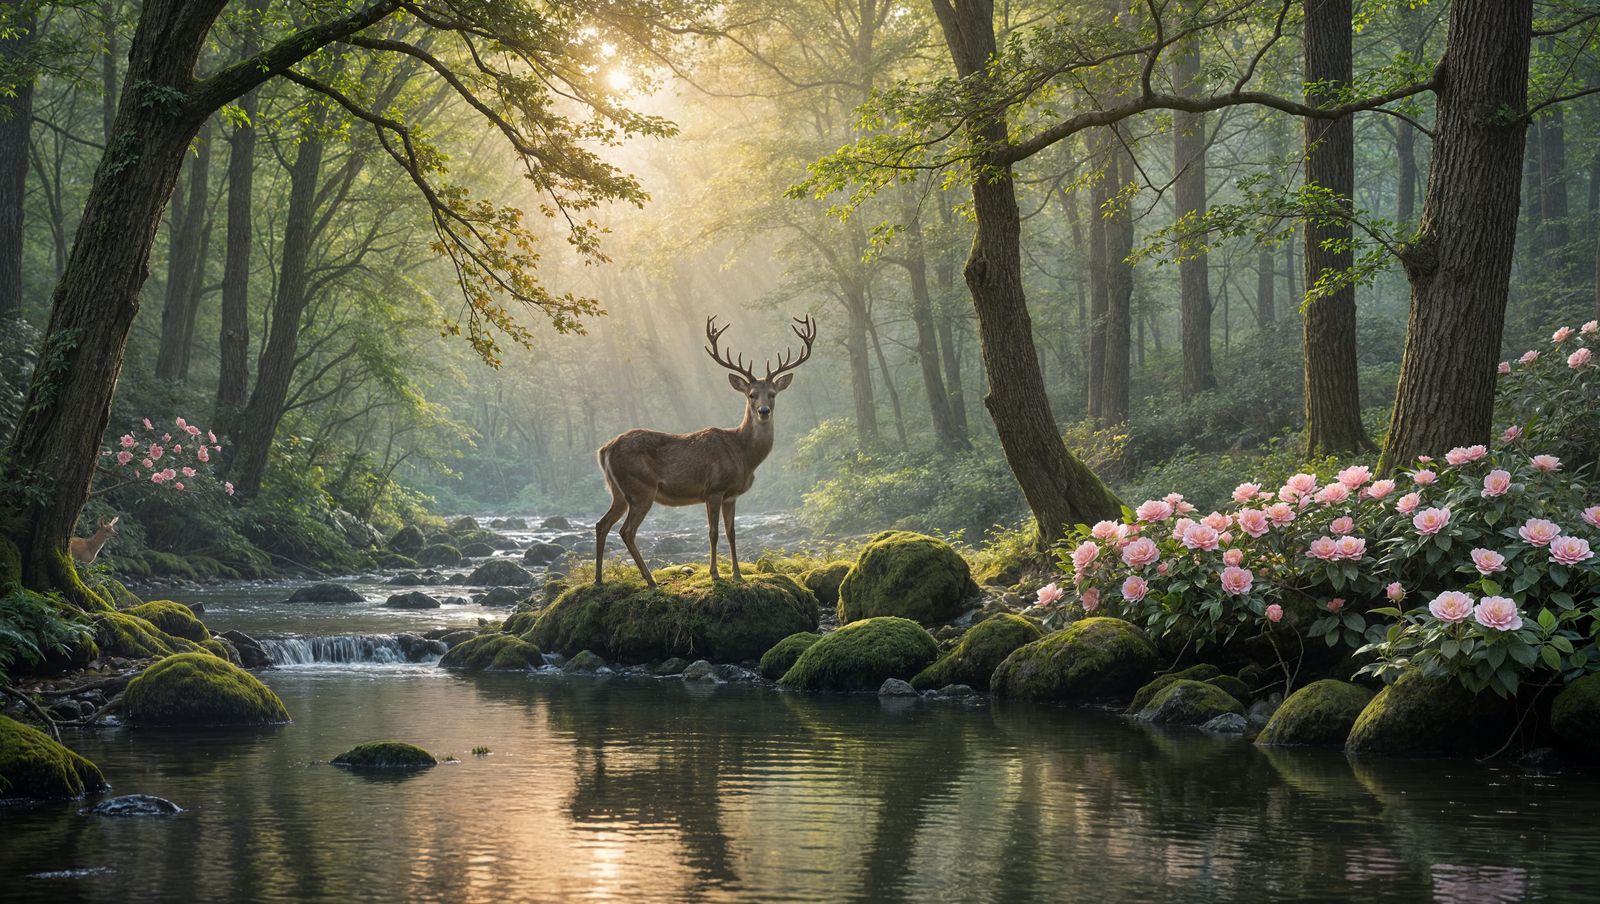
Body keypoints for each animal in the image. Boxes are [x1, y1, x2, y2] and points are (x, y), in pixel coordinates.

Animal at [595, 315, 816, 587]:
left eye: (773, 394)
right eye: (751, 395)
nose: (763, 411)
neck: (743, 455)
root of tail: (604, 449)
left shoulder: (731, 495)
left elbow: (732, 533)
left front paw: (738, 573)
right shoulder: (714, 488)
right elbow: (713, 533)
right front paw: (715, 573)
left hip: (618, 491)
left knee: (602, 524)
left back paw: (599, 579)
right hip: (640, 487)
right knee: (626, 531)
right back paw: (650, 580)